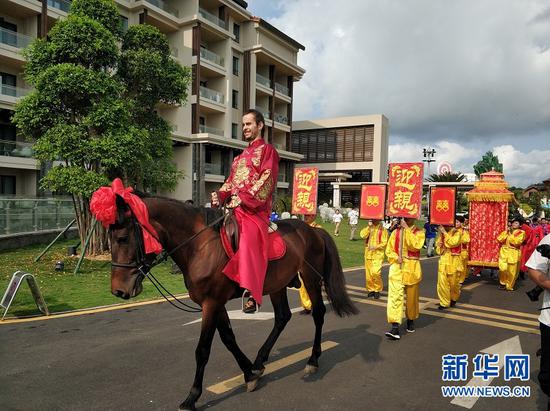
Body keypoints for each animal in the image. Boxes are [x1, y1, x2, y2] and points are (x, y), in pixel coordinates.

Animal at [109, 195, 358, 410]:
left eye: (123, 238)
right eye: (109, 241)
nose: (118, 290)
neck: (199, 246)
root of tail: (314, 230)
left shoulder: (211, 302)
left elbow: (203, 350)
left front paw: (192, 397)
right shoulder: (214, 303)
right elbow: (229, 338)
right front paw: (249, 373)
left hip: (311, 278)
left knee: (318, 313)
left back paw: (313, 360)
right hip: (278, 285)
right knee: (282, 317)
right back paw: (259, 360)